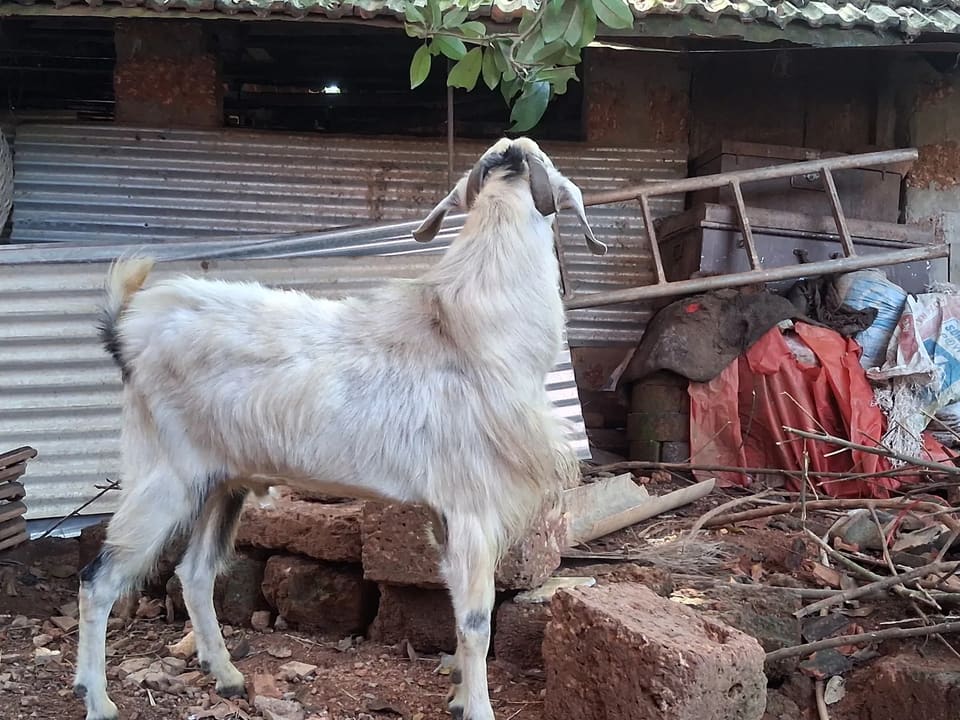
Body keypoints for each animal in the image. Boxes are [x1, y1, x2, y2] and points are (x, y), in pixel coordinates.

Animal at [73, 137, 606, 720]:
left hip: (221, 482)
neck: (468, 331)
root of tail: (126, 329)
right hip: (163, 476)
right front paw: (478, 708)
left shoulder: (445, 512)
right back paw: (98, 700)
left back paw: (228, 676)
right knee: (97, 581)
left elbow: (454, 605)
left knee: (193, 575)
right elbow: (475, 623)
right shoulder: (471, 506)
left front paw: (459, 694)